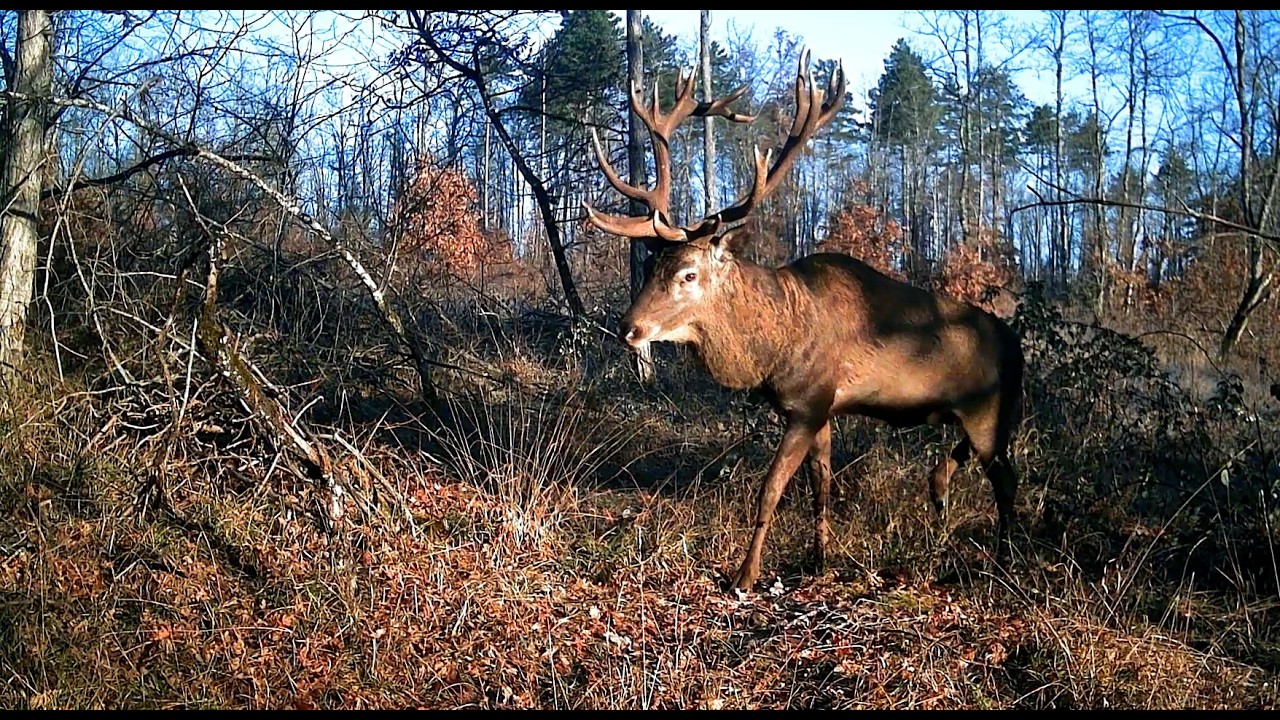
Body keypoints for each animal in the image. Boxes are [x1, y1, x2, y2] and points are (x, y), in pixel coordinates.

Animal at [584, 49, 1025, 592]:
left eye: (688, 273)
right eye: (650, 267)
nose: (630, 327)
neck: (775, 346)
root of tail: (1015, 345)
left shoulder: (810, 402)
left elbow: (771, 490)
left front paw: (745, 575)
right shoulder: (825, 408)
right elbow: (821, 487)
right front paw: (820, 558)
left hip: (988, 409)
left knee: (1006, 480)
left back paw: (1004, 563)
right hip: (976, 416)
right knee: (964, 466)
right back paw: (946, 502)